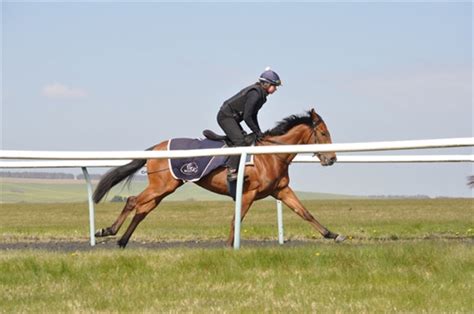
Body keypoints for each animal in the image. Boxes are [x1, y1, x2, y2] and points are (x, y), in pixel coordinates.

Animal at [92, 108, 346, 248]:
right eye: (323, 133)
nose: (332, 158)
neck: (271, 154)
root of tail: (156, 148)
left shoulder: (280, 190)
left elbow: (305, 212)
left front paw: (333, 234)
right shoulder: (248, 193)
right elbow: (237, 219)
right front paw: (228, 246)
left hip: (164, 188)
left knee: (143, 210)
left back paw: (122, 241)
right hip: (161, 185)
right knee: (133, 201)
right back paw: (107, 231)